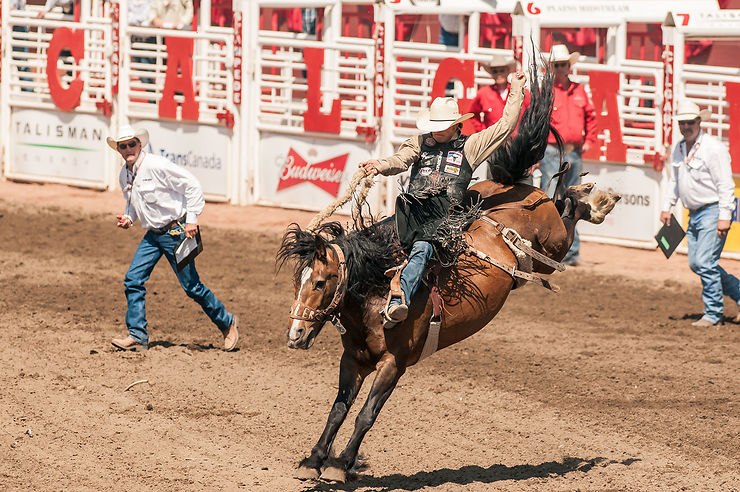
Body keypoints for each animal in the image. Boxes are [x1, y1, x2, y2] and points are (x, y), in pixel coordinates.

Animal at [276, 59, 620, 482]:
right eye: (299, 281)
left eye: (322, 282)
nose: (295, 334)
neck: (375, 294)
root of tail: (514, 191)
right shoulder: (352, 360)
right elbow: (338, 409)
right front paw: (313, 460)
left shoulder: (393, 364)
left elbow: (365, 416)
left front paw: (342, 466)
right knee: (563, 202)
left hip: (552, 245)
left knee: (569, 207)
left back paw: (597, 200)